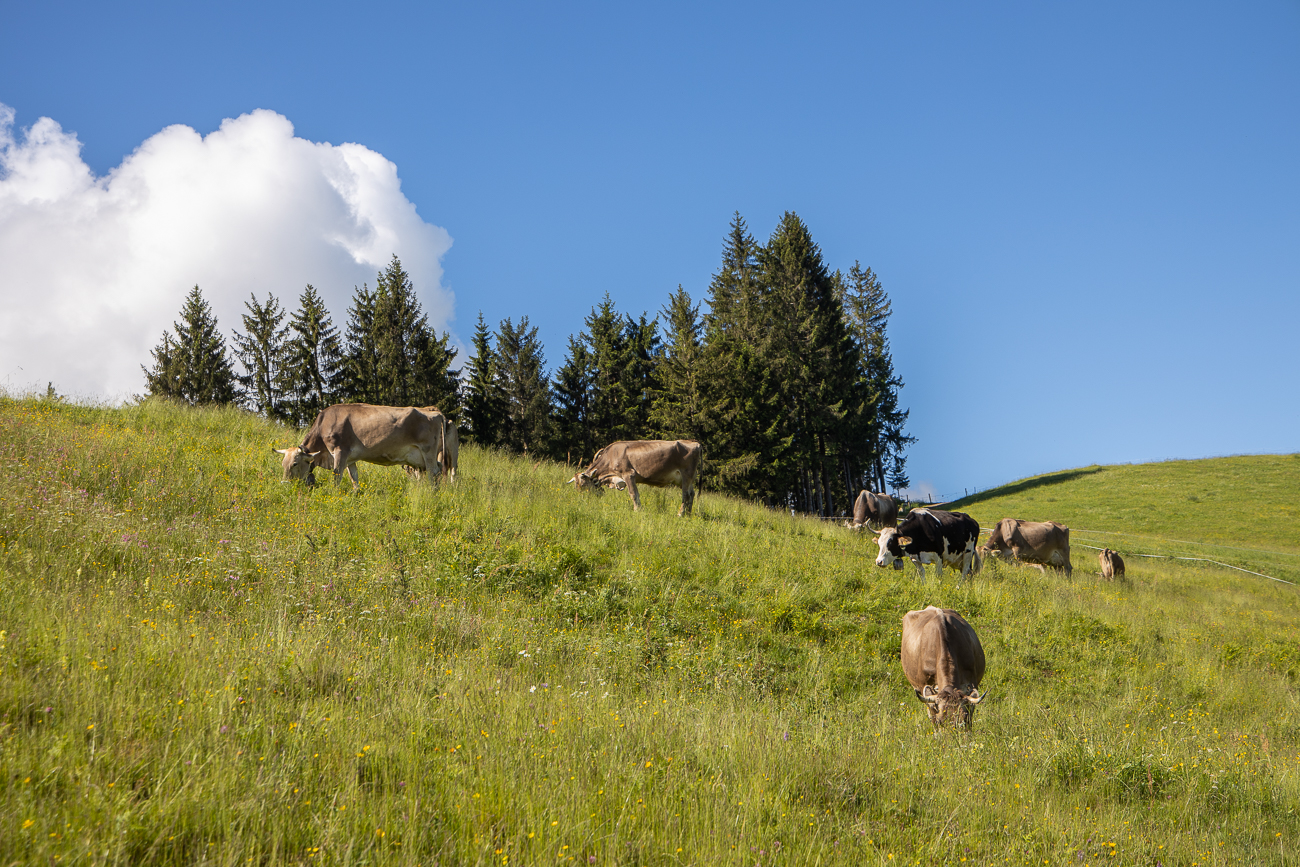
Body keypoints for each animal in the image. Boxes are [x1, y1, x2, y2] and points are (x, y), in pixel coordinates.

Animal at [274, 405, 452, 491]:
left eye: (295, 464)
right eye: (282, 464)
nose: (284, 483)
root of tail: (436, 412)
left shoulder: (339, 451)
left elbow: (337, 476)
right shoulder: (350, 459)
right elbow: (354, 478)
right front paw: (356, 493)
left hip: (428, 452)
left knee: (433, 473)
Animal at [569, 441, 702, 514]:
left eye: (584, 484)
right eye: (576, 487)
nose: (583, 500)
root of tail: (695, 443)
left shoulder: (629, 474)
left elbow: (633, 494)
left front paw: (637, 510)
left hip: (686, 474)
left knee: (686, 494)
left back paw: (681, 514)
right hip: (686, 479)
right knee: (692, 493)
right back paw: (688, 514)